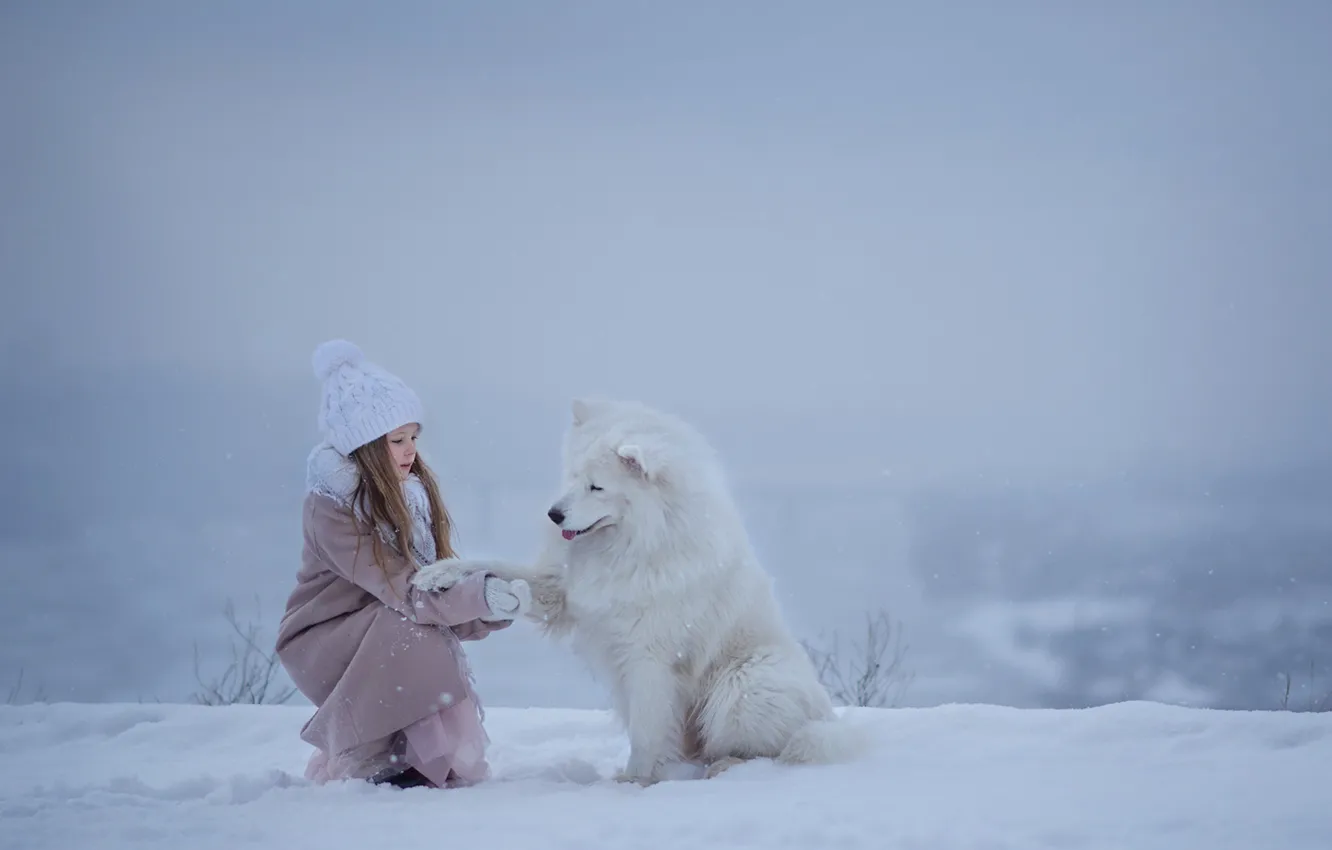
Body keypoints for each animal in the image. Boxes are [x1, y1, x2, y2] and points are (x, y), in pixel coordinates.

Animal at [412, 399, 863, 788]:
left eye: (596, 487)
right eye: (573, 476)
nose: (554, 514)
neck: (635, 543)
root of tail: (826, 719)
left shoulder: (650, 655)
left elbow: (647, 729)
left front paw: (634, 781)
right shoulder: (563, 592)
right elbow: (493, 565)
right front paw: (438, 574)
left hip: (746, 683)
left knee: (771, 747)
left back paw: (726, 767)